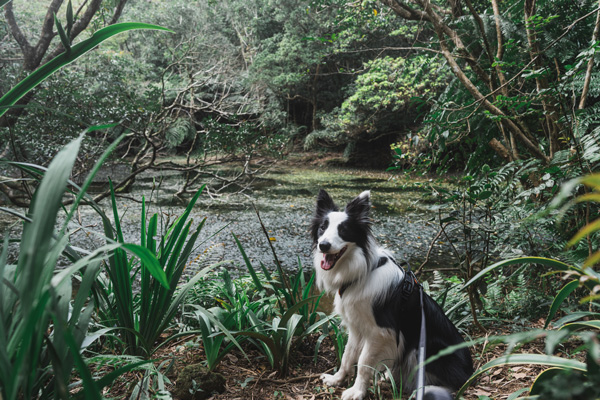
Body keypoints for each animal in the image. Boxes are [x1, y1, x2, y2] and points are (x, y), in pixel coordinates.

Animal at [312, 189, 472, 398]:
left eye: (343, 230)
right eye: (322, 228)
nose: (323, 245)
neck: (363, 272)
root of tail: (471, 372)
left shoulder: (380, 332)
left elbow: (363, 362)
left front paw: (357, 391)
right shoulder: (356, 326)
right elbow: (347, 355)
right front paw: (336, 379)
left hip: (424, 348)